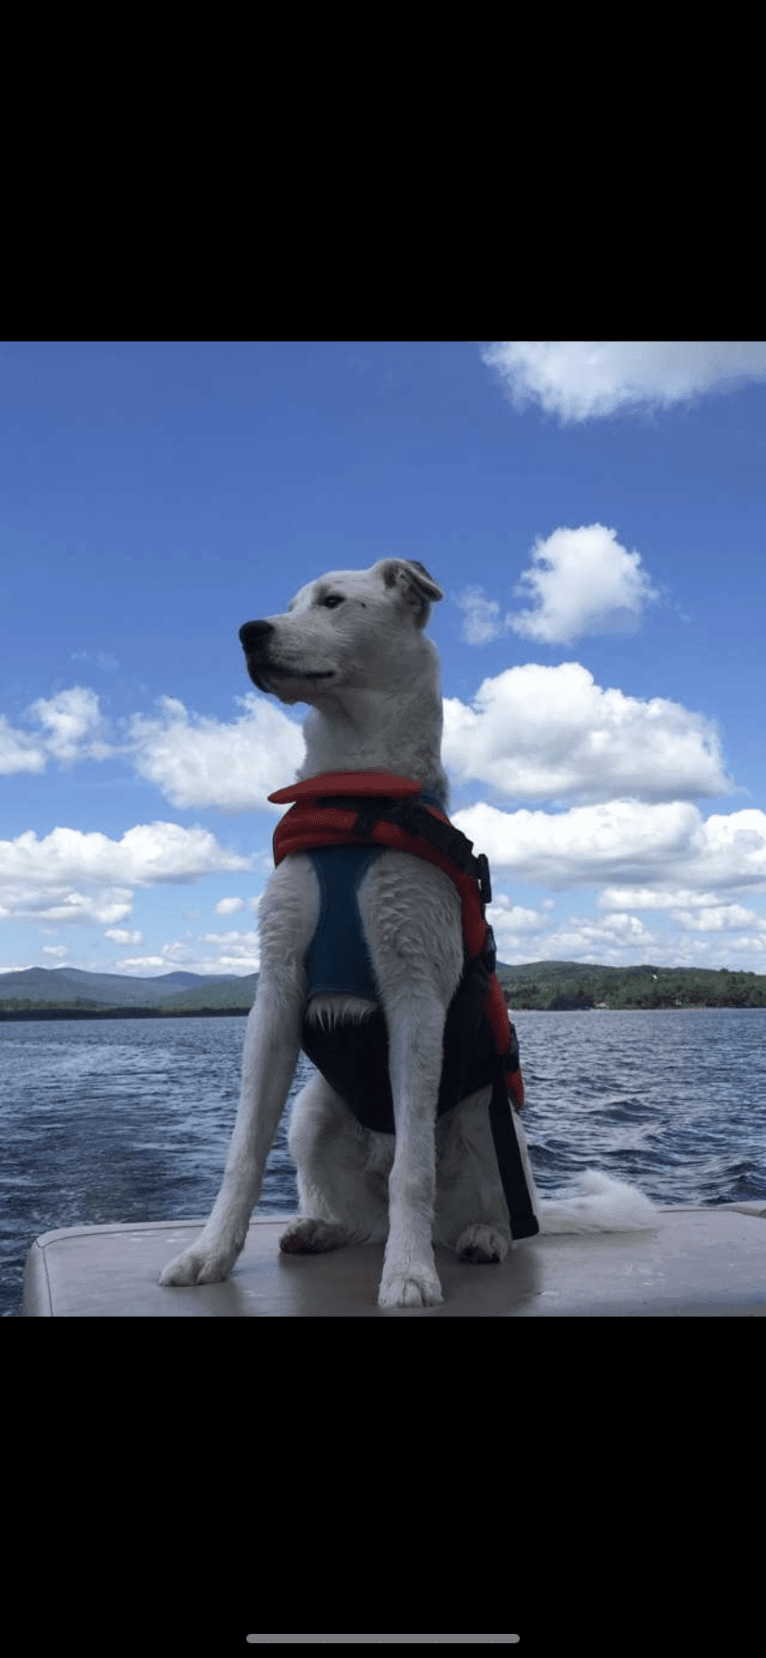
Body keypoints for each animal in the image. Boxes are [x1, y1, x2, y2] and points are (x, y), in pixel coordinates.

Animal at [158, 557, 656, 1306]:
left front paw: (410, 1273)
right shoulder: (276, 990)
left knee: (495, 1217)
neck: (355, 793)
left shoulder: (415, 991)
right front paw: (208, 1254)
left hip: (492, 1118)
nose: (249, 632)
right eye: (289, 605)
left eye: (333, 601)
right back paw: (320, 1228)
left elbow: (412, 1171)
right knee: (360, 1218)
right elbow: (243, 1151)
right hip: (313, 1110)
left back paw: (479, 1238)